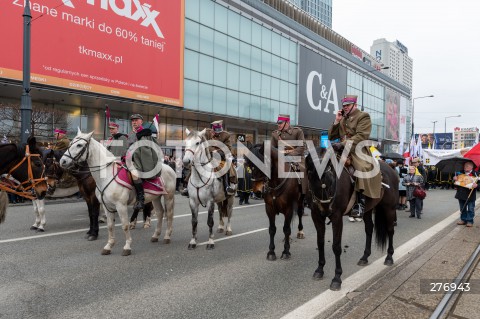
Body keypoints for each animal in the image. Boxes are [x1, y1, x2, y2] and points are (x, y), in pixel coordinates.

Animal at [308, 146, 398, 292]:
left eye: (330, 174)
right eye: (311, 174)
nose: (326, 208)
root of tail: (390, 168)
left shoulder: (337, 217)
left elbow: (336, 246)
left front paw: (337, 278)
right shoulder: (316, 217)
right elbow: (320, 243)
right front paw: (319, 270)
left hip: (389, 208)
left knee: (390, 230)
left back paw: (389, 257)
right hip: (368, 209)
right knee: (369, 229)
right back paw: (365, 257)